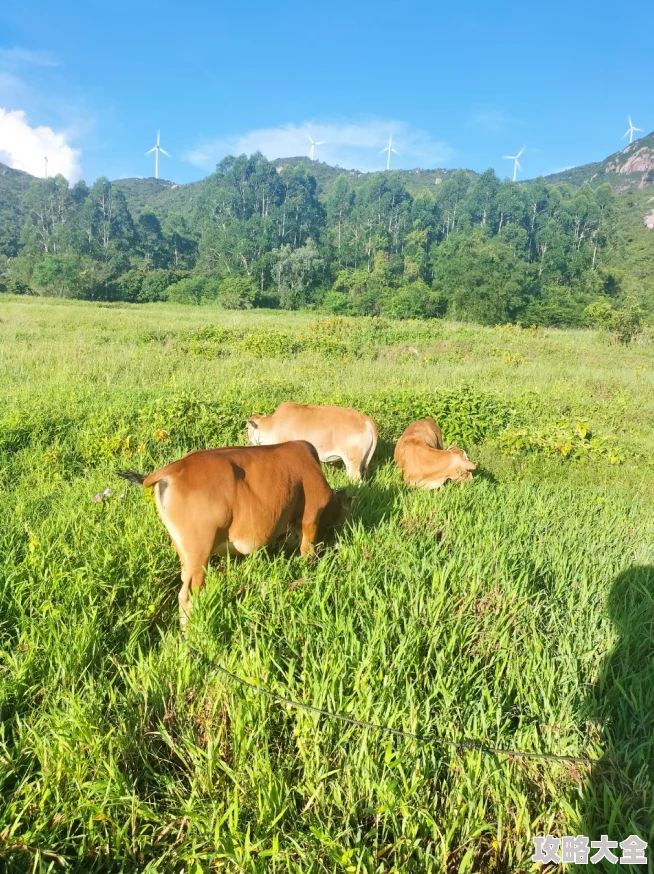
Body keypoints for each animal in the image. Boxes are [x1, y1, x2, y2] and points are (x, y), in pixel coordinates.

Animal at [117, 446, 354, 624]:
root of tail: (174, 468)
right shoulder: (311, 516)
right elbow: (307, 551)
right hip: (200, 550)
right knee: (188, 595)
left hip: (182, 548)